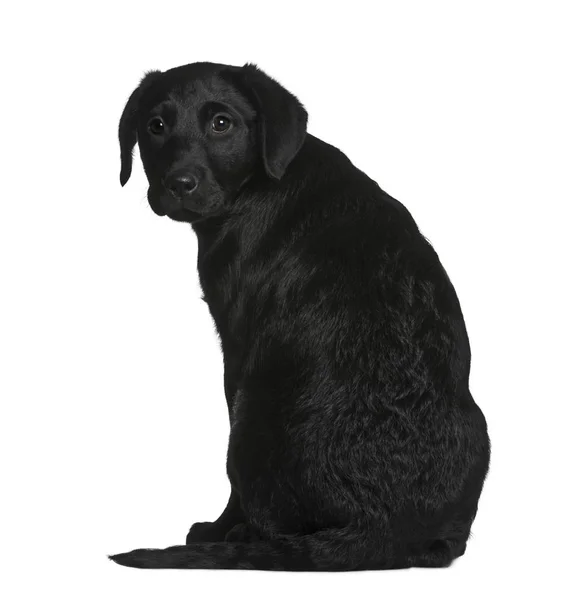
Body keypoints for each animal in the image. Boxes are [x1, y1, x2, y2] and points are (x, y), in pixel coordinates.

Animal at [110, 62, 490, 572]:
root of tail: (378, 528)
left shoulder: (238, 348)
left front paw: (217, 528)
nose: (179, 184)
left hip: (252, 415)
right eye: (155, 126)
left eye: (222, 123)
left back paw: (239, 535)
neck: (258, 184)